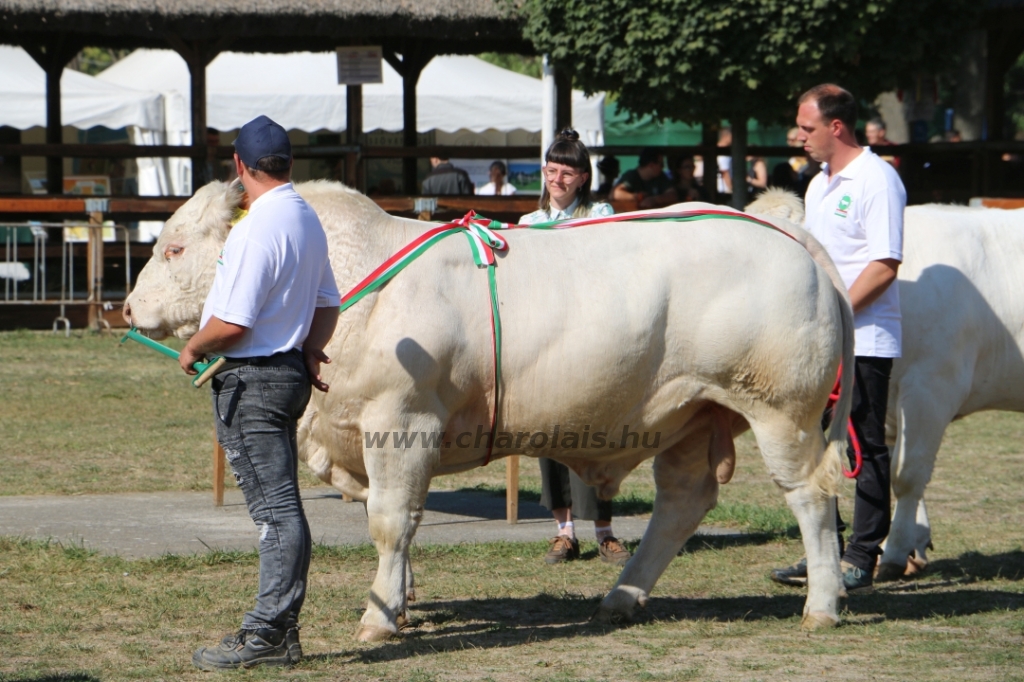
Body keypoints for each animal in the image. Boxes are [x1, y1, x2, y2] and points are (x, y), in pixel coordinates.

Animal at [125, 180, 856, 638]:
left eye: (173, 247)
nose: (128, 307)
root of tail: (786, 232)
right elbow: (395, 522)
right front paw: (403, 600)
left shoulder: (402, 422)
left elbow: (390, 521)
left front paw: (379, 619)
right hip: (691, 415)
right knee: (683, 502)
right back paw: (621, 596)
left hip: (782, 409)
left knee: (811, 496)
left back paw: (821, 605)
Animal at [745, 188, 1024, 577]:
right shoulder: (888, 405)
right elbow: (891, 467)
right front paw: (913, 546)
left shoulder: (932, 386)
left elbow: (906, 473)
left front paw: (893, 552)